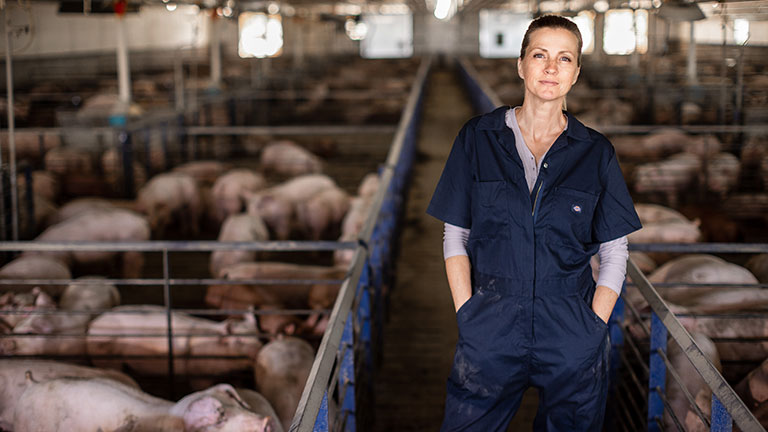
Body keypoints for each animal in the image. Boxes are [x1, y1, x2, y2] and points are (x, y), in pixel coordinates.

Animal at [86, 304, 260, 378]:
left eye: (259, 336)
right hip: (106, 355)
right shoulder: (198, 370)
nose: (259, 351)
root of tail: (92, 326)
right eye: (239, 340)